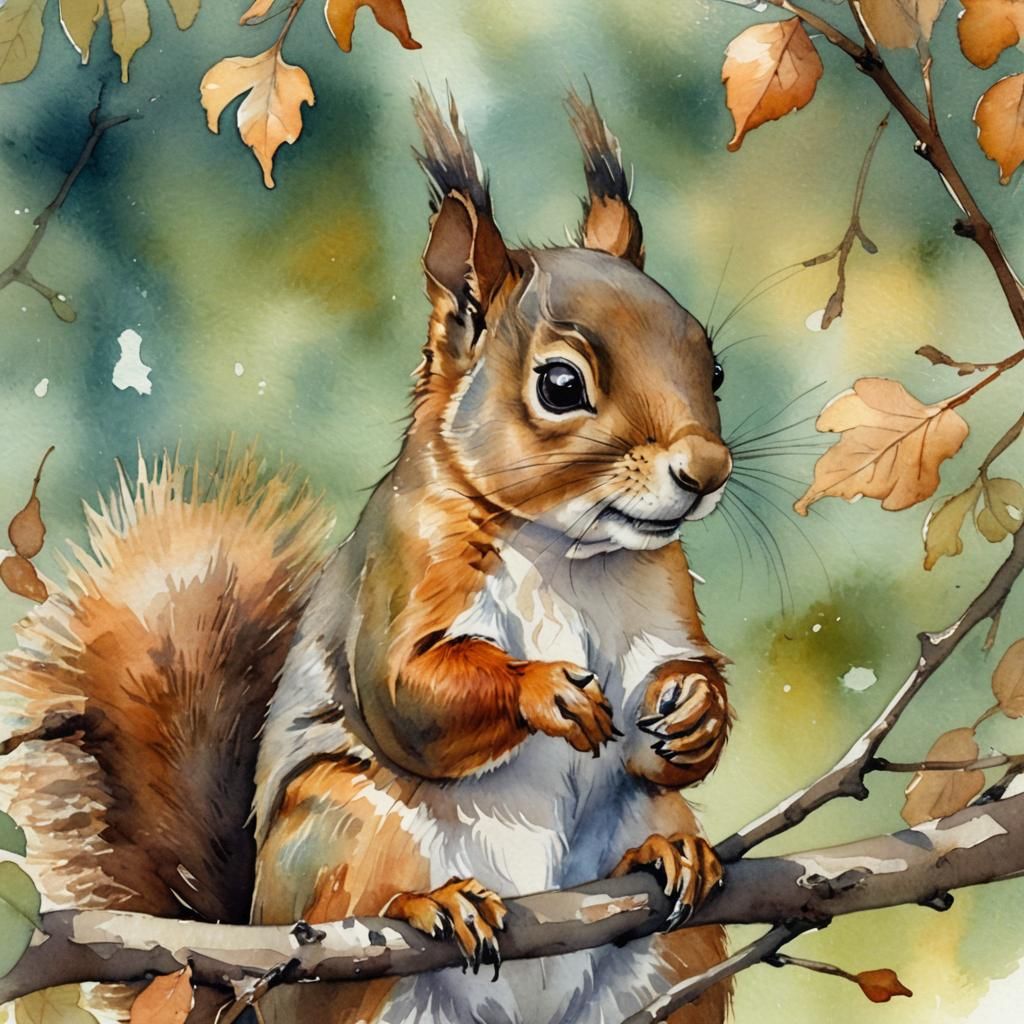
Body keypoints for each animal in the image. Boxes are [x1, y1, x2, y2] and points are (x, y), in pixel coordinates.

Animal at [0, 86, 734, 1024]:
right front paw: (543, 691)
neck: (568, 550)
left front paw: (697, 711)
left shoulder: (662, 601)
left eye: (713, 369)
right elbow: (407, 692)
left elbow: (677, 687)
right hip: (344, 828)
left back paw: (667, 859)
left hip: (668, 917)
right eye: (560, 385)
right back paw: (435, 903)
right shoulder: (405, 571)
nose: (706, 472)